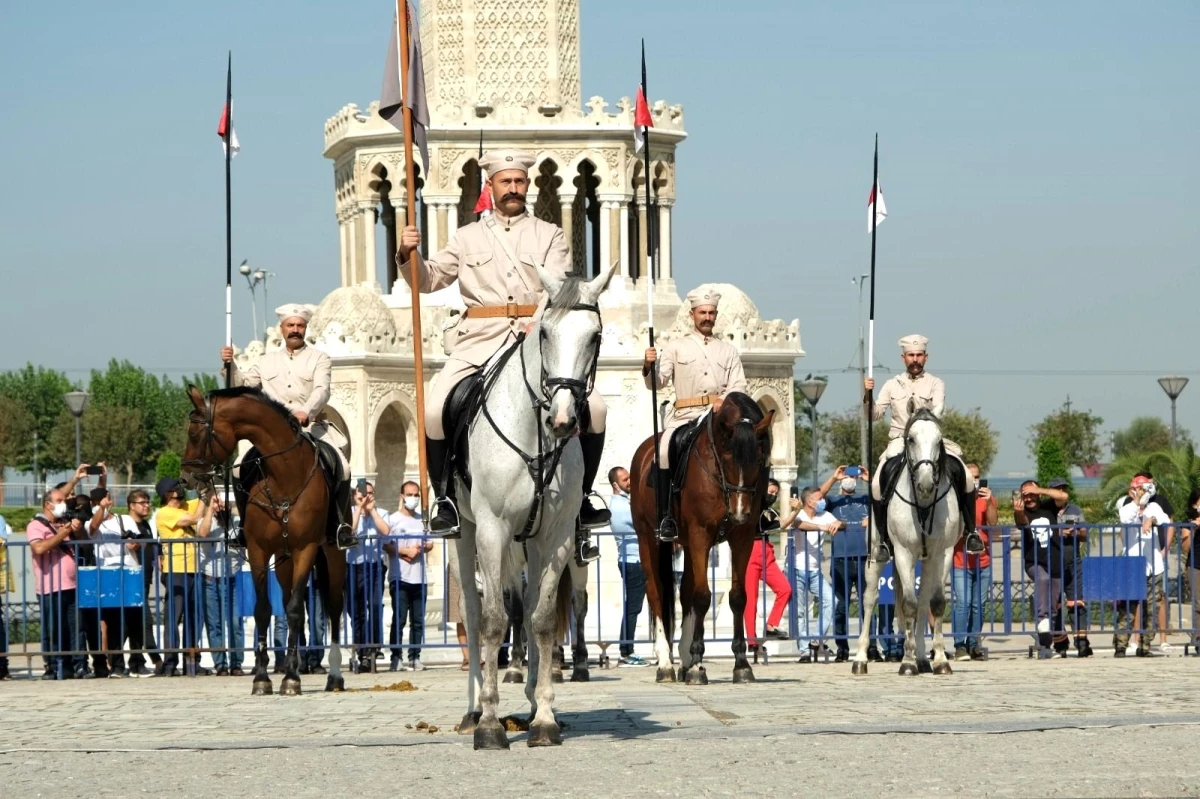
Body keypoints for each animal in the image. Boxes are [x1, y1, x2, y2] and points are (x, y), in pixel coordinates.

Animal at [177, 383, 350, 691]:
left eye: (194, 433)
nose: (186, 479)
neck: (284, 475)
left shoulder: (306, 548)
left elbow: (295, 610)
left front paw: (291, 678)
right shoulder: (258, 550)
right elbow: (263, 609)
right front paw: (262, 676)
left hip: (333, 553)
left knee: (333, 605)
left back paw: (334, 675)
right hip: (283, 559)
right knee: (287, 599)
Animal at [453, 267, 614, 748]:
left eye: (595, 336)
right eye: (544, 332)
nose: (562, 419)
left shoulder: (556, 536)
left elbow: (541, 619)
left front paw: (543, 718)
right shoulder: (492, 530)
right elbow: (492, 619)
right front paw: (489, 724)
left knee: (528, 608)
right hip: (466, 534)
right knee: (474, 611)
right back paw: (473, 709)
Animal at [633, 388, 772, 681]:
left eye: (758, 460)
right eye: (728, 459)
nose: (740, 512)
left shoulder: (741, 538)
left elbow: (737, 596)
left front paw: (741, 663)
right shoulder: (700, 534)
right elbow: (702, 596)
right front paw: (698, 663)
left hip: (686, 542)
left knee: (684, 590)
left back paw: (684, 660)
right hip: (647, 538)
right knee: (656, 591)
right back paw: (666, 663)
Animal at [849, 405, 960, 671]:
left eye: (939, 440)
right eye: (911, 439)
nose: (926, 484)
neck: (924, 504)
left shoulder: (944, 553)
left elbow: (935, 602)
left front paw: (940, 660)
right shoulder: (903, 552)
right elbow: (907, 604)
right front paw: (907, 662)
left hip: (928, 561)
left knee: (923, 601)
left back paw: (921, 658)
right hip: (875, 557)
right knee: (870, 599)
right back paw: (861, 659)